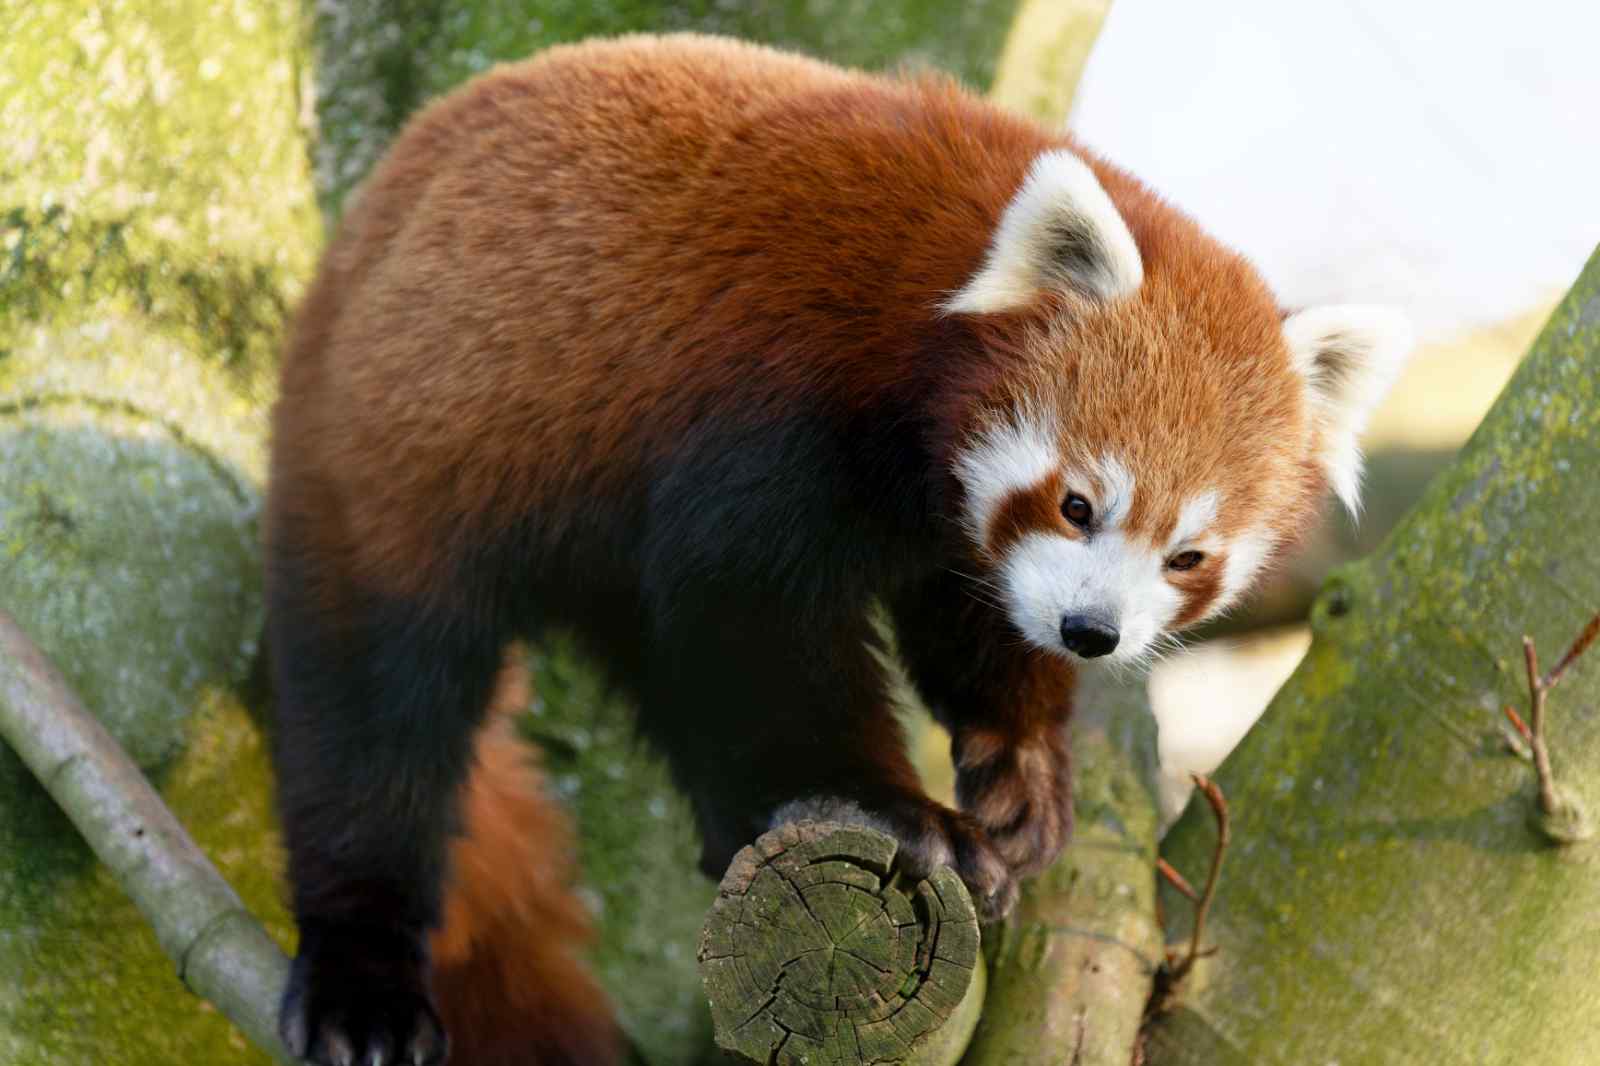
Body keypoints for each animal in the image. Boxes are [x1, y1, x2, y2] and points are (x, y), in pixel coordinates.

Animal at [265, 32, 1409, 1066]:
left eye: (1187, 558)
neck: (927, 303)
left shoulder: (953, 539)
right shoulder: (770, 396)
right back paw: (363, 971)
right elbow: (757, 623)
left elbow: (964, 623)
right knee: (377, 717)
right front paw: (895, 808)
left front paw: (1021, 769)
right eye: (1078, 504)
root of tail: (360, 232)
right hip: (393, 460)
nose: (1091, 632)